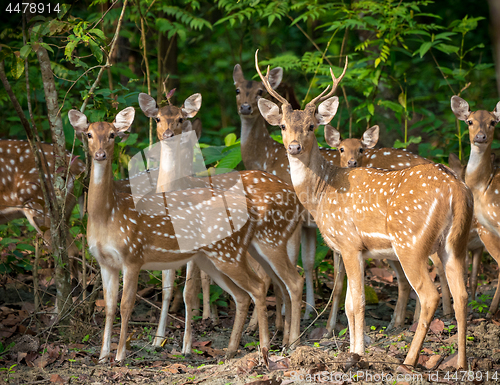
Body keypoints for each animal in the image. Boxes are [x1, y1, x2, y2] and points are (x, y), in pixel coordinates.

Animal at [68, 106, 302, 362]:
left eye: (112, 134)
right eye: (89, 134)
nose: (100, 154)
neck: (108, 215)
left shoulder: (133, 255)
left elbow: (126, 304)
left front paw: (120, 356)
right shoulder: (104, 262)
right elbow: (109, 307)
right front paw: (102, 356)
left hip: (236, 250)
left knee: (268, 285)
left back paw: (271, 347)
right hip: (218, 257)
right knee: (248, 292)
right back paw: (236, 349)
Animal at [233, 63, 344, 316]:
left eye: (260, 92)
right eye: (237, 90)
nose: (246, 107)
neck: (266, 158)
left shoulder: (294, 220)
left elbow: (294, 262)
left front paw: (287, 312)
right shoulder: (308, 225)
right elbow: (309, 262)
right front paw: (308, 309)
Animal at [258, 52, 472, 368]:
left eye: (311, 126)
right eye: (282, 126)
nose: (294, 147)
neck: (322, 193)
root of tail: (457, 191)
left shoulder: (349, 243)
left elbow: (356, 303)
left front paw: (356, 354)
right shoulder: (356, 250)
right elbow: (348, 304)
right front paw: (353, 350)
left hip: (411, 242)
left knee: (429, 295)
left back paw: (409, 360)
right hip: (454, 243)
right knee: (463, 295)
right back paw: (460, 363)